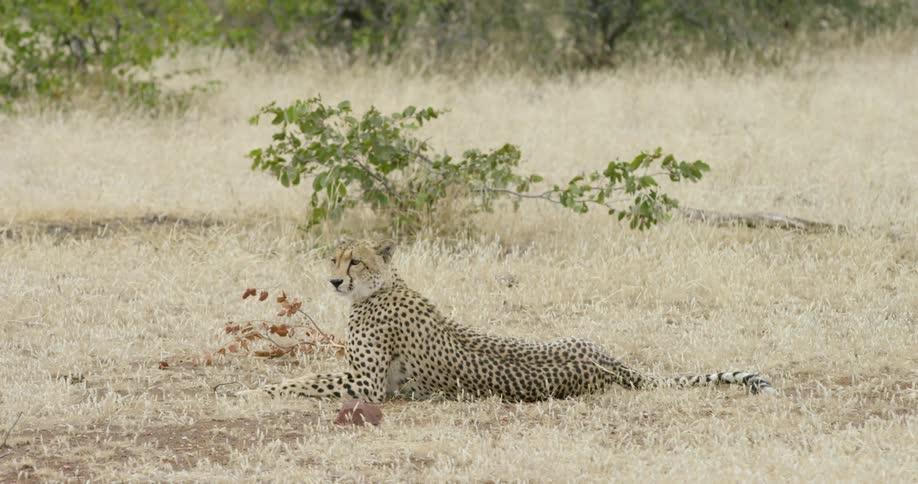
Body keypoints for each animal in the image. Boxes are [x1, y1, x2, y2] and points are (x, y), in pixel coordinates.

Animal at [248, 239, 774, 402]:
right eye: (334, 257)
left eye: (354, 261)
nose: (334, 281)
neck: (382, 287)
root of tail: (617, 366)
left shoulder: (368, 385)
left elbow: (300, 383)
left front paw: (249, 393)